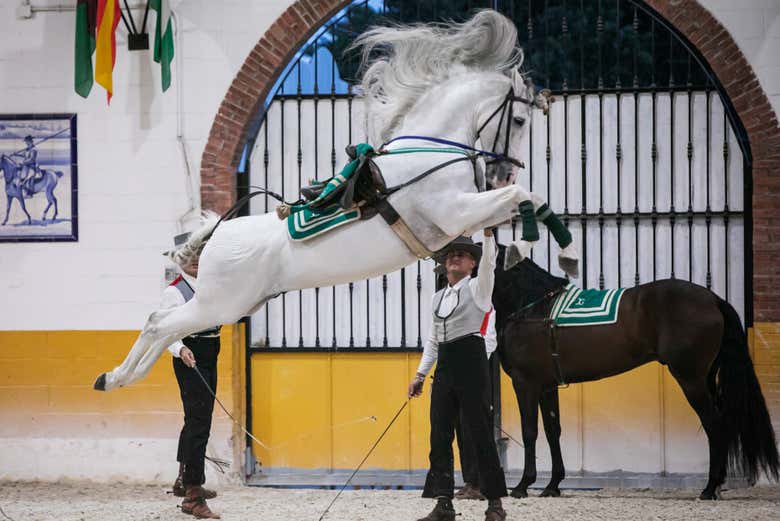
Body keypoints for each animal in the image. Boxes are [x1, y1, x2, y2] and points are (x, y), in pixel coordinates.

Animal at [93, 10, 580, 390]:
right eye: (519, 120)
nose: (504, 170)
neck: (429, 149)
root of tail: (216, 234)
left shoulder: (463, 217)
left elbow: (527, 204)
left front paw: (543, 251)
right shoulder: (453, 210)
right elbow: (525, 196)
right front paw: (542, 249)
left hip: (230, 305)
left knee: (162, 327)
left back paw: (119, 377)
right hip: (220, 304)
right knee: (158, 324)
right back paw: (117, 377)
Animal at [496, 248, 776, 500]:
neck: (533, 308)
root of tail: (714, 300)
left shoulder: (525, 383)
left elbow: (529, 431)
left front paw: (522, 486)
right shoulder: (546, 386)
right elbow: (553, 430)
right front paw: (552, 486)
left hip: (691, 379)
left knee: (714, 423)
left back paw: (709, 489)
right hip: (704, 378)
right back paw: (714, 487)